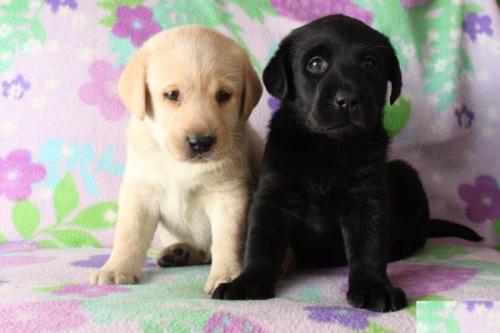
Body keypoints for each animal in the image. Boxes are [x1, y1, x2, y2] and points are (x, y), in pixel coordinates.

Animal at [90, 25, 264, 294]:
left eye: (224, 95)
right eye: (173, 94)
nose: (201, 142)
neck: (179, 165)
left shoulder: (229, 197)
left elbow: (227, 240)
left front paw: (227, 276)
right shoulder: (140, 194)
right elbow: (129, 234)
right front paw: (116, 268)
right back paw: (180, 252)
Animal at [213, 14, 482, 312]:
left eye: (370, 63)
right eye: (315, 63)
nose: (348, 100)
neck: (328, 147)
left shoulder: (367, 199)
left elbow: (368, 247)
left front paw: (374, 288)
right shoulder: (274, 196)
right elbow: (261, 242)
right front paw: (247, 282)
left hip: (407, 175)